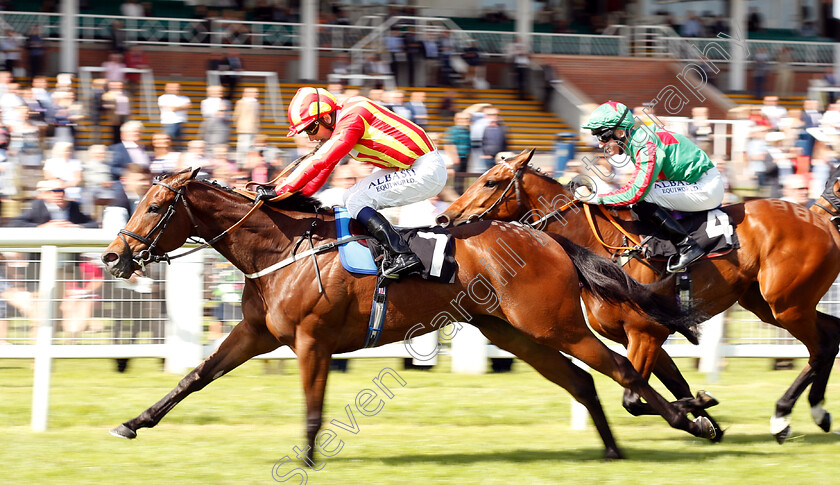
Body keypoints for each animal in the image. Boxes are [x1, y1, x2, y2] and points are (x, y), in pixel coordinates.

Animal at [98, 168, 716, 460]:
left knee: (622, 368)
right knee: (582, 380)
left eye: (155, 206)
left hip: (553, 322)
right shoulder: (255, 333)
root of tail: (545, 237)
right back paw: (614, 446)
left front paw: (308, 459)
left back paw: (691, 419)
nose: (112, 257)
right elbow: (195, 376)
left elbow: (314, 410)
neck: (282, 250)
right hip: (514, 332)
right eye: (138, 200)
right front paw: (133, 421)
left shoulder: (312, 341)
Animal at [436, 149, 840, 440]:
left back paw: (783, 417)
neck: (604, 246)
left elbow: (632, 397)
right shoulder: (645, 336)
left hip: (786, 304)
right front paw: (706, 420)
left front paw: (700, 411)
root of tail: (819, 217)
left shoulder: (646, 332)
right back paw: (817, 411)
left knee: (820, 347)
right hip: (770, 304)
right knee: (831, 335)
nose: (445, 218)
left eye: (491, 182)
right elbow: (673, 384)